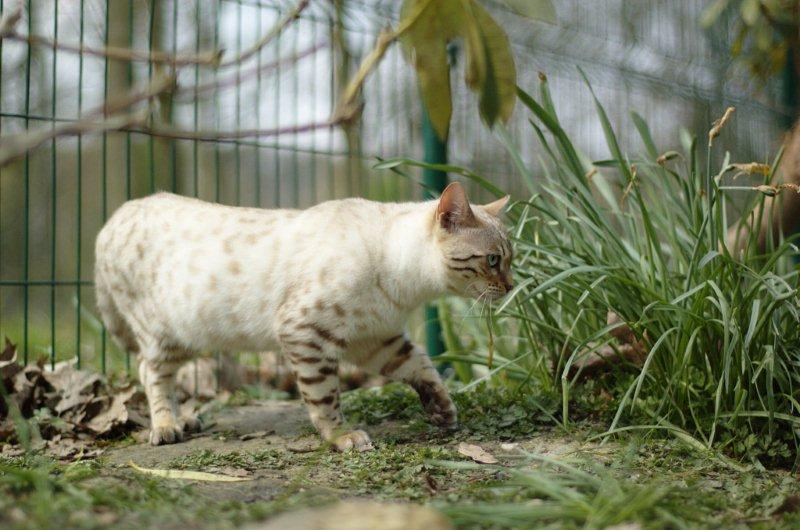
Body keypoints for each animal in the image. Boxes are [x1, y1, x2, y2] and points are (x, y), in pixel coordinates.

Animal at [95, 183, 512, 450]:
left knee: (153, 373)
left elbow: (422, 366)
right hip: (165, 334)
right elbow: (325, 397)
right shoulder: (305, 332)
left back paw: (183, 419)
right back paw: (167, 426)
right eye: (494, 260)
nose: (511, 285)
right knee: (150, 373)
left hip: (187, 339)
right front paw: (342, 437)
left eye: (512, 258)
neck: (406, 289)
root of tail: (114, 216)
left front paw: (442, 410)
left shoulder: (374, 339)